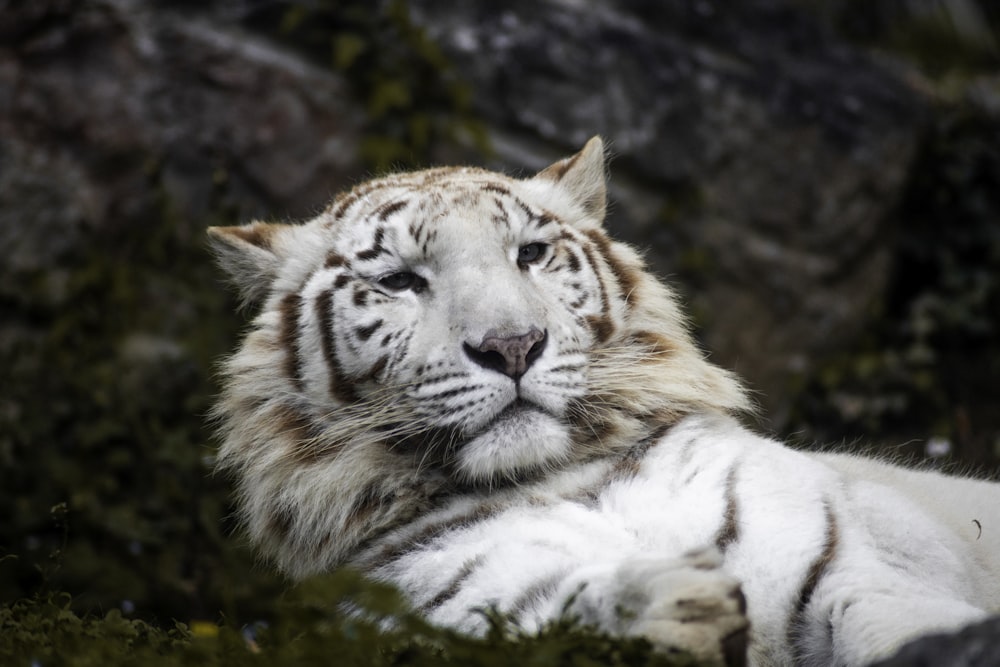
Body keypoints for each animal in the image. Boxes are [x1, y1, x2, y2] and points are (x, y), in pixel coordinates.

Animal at [211, 138, 1000, 664]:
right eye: (402, 281)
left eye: (530, 253)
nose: (512, 345)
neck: (566, 477)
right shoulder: (424, 606)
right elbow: (544, 608)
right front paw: (672, 603)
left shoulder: (850, 567)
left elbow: (898, 620)